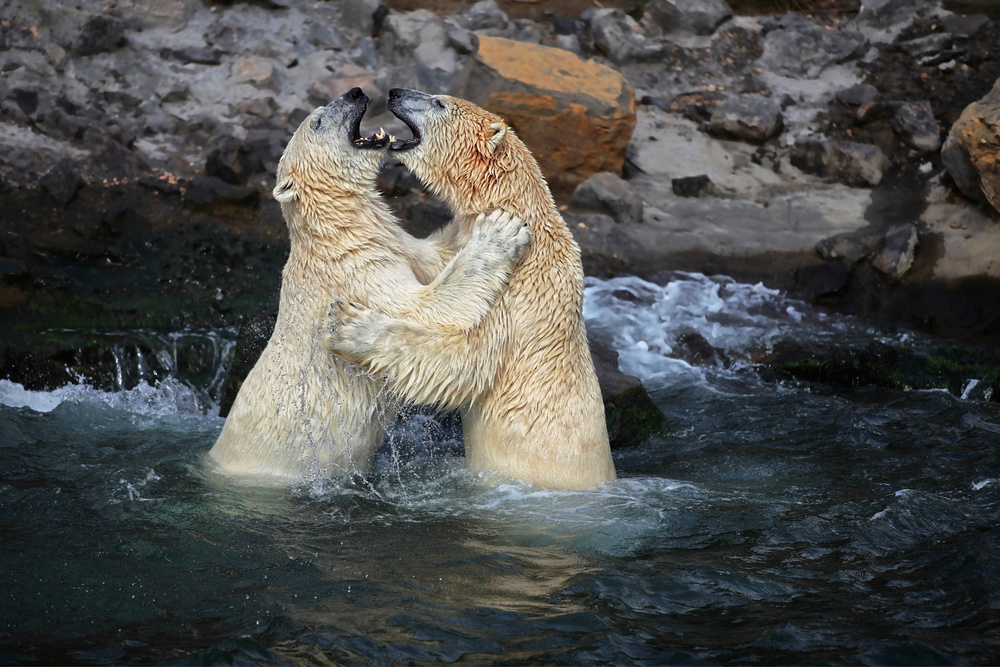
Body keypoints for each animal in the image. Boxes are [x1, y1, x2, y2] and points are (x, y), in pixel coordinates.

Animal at [209, 90, 532, 486]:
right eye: (317, 122)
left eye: (320, 110)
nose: (355, 93)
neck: (337, 233)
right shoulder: (356, 275)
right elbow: (426, 309)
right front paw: (500, 232)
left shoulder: (390, 243)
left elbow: (429, 256)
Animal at [326, 87, 616, 490]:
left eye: (439, 103)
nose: (395, 91)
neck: (515, 209)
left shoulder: (515, 295)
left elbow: (461, 361)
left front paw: (352, 327)